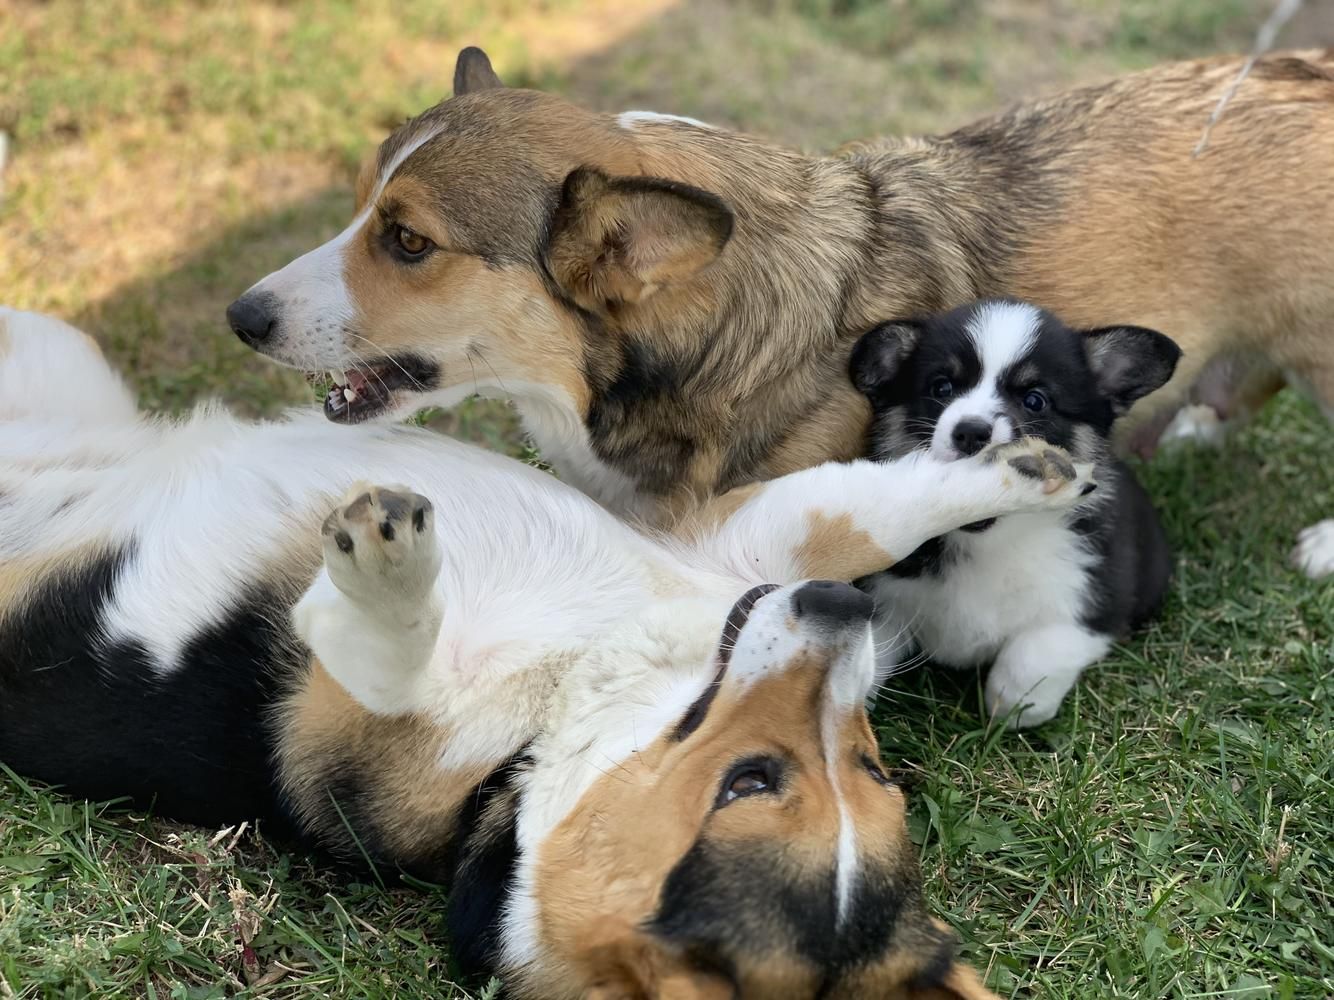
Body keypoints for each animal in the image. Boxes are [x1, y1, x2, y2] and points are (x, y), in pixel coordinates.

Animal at [848, 297, 1184, 730]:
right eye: (941, 387)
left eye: (1035, 400)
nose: (971, 432)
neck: (988, 542)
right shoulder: (885, 602)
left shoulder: (1093, 600)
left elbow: (1034, 656)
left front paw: (1012, 705)